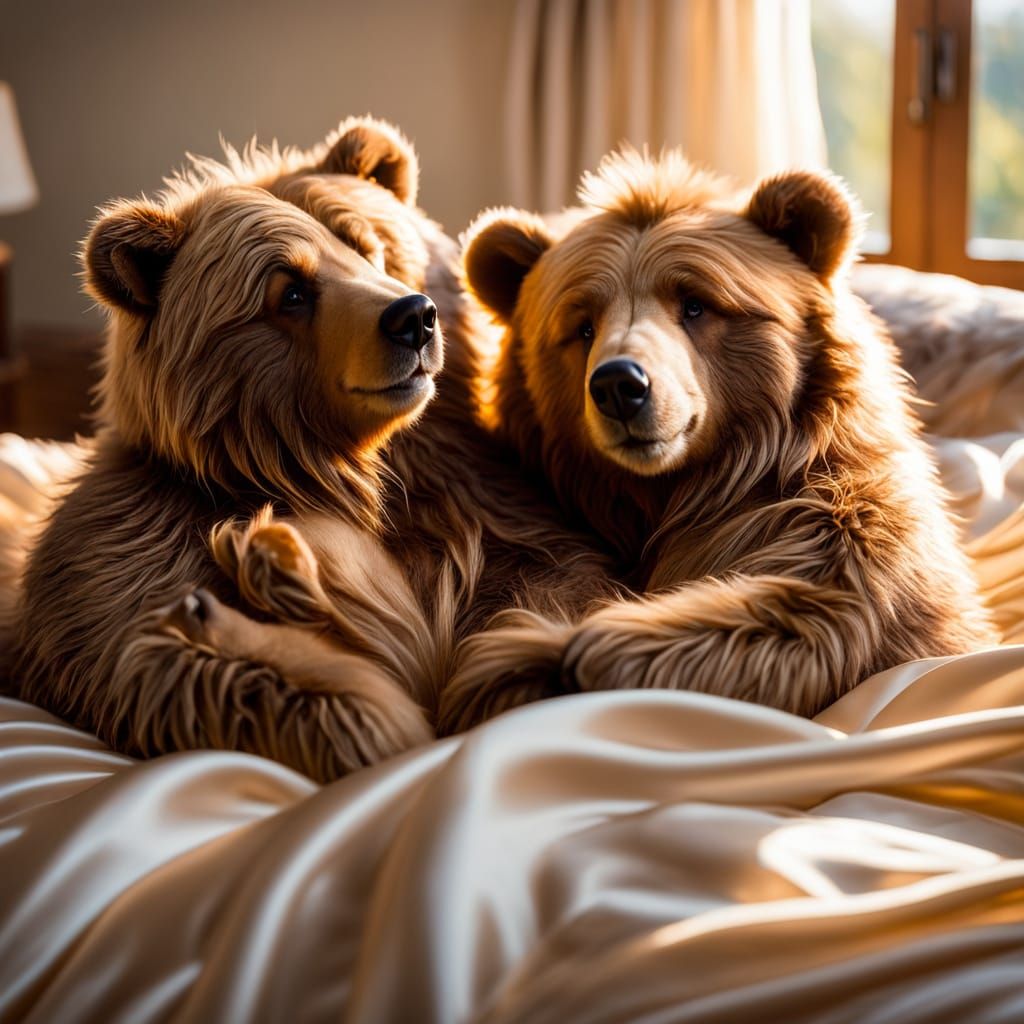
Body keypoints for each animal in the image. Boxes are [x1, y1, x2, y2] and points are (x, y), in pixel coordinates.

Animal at [8, 124, 453, 783]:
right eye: (290, 291)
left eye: (363, 248)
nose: (414, 317)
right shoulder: (114, 595)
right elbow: (373, 711)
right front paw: (261, 577)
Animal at [450, 149, 998, 721]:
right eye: (582, 325)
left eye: (695, 303)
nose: (620, 385)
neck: (668, 493)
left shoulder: (837, 534)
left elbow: (787, 614)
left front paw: (528, 656)